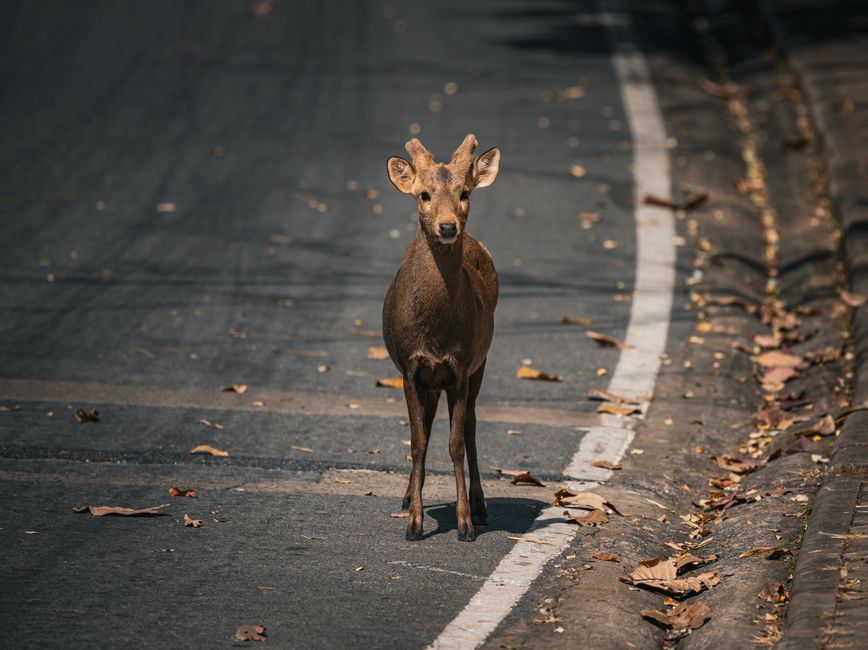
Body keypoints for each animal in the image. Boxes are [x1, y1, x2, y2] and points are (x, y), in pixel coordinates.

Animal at [382, 134, 500, 542]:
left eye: (465, 193)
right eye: (424, 194)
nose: (448, 227)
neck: (434, 334)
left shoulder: (461, 367)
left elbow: (456, 444)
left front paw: (465, 523)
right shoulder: (410, 369)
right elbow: (418, 443)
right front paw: (414, 523)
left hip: (481, 363)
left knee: (471, 428)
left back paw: (481, 506)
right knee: (429, 426)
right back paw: (407, 496)